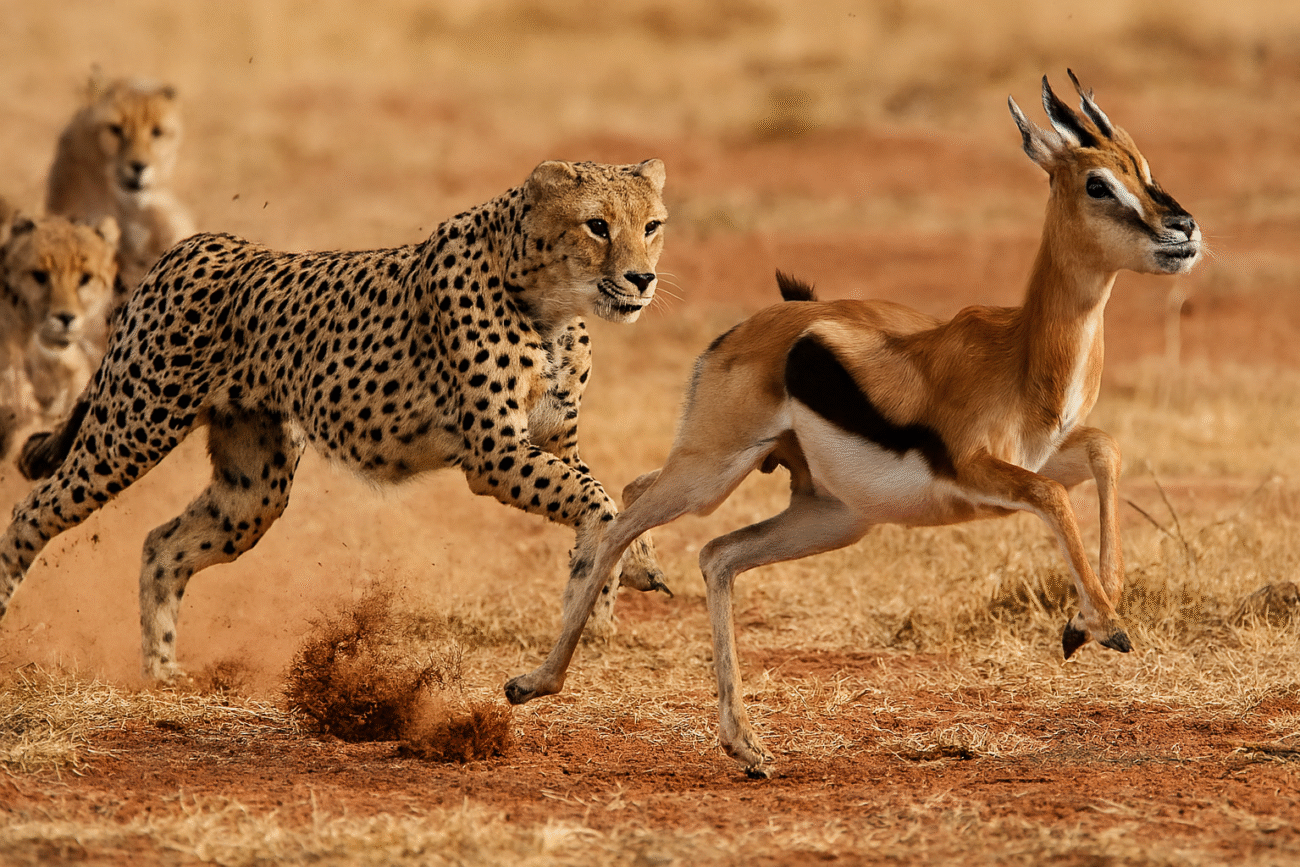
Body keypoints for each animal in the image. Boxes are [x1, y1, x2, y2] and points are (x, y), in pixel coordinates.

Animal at [504, 72, 1202, 777]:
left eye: (1143, 168)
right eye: (1097, 183)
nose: (1184, 231)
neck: (1023, 355)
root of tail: (742, 333)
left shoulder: (1038, 455)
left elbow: (1106, 452)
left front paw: (1081, 624)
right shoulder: (981, 472)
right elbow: (1058, 496)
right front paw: (1108, 627)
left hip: (830, 514)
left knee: (713, 550)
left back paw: (746, 744)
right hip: (714, 471)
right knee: (626, 515)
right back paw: (533, 683)